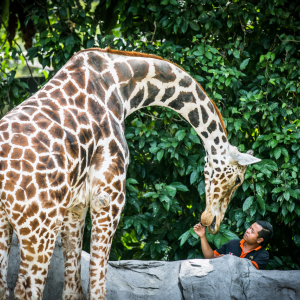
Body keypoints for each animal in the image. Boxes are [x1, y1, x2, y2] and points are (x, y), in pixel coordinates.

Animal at [0, 47, 260, 300]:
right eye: (238, 180)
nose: (211, 222)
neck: (123, 86)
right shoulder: (108, 197)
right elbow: (97, 289)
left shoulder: (75, 206)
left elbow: (73, 290)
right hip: (41, 226)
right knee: (27, 289)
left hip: (11, 224)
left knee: (7, 286)